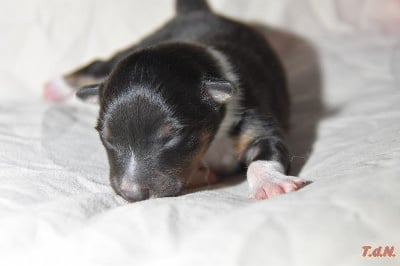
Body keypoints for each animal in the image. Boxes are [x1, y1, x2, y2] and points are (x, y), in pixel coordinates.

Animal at [44, 0, 306, 200]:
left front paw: (271, 184)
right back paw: (55, 87)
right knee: (98, 64)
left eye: (172, 137)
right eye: (107, 139)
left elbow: (264, 155)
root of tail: (196, 12)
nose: (132, 195)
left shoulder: (256, 118)